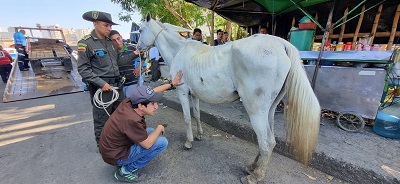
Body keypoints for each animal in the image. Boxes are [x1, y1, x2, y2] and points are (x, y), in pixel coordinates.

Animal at [138, 13, 322, 184]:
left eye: (140, 30)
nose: (138, 48)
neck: (180, 50)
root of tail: (282, 44)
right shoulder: (194, 95)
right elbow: (196, 115)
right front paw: (199, 135)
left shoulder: (182, 92)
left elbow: (187, 118)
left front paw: (189, 142)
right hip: (269, 109)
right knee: (270, 140)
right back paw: (252, 167)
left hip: (255, 110)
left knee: (266, 142)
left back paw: (254, 176)